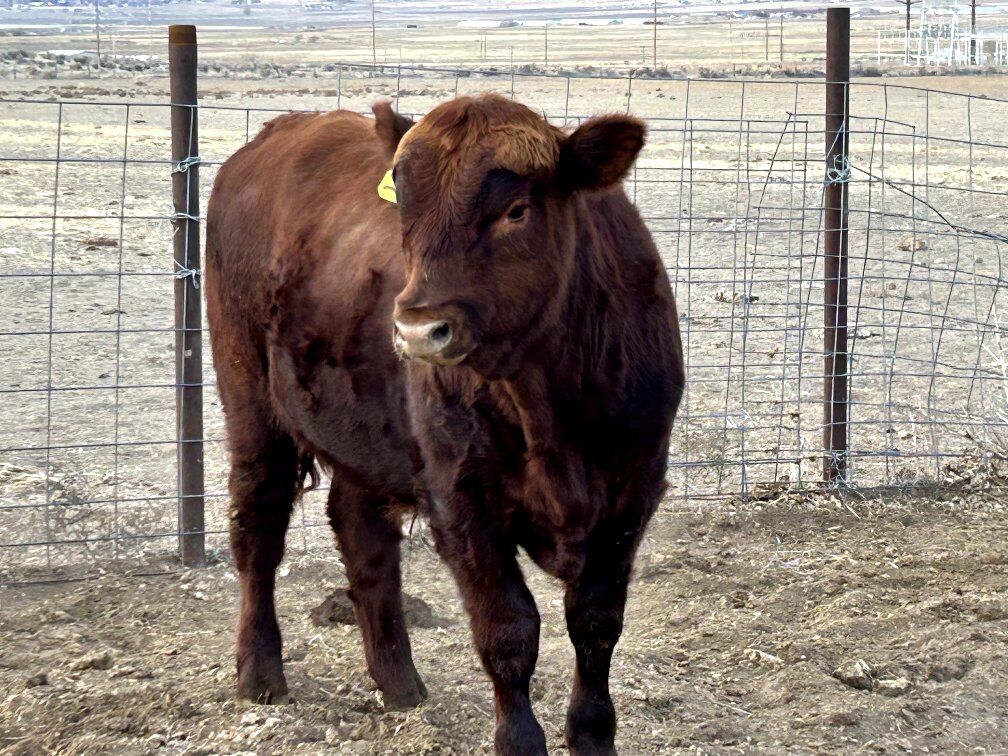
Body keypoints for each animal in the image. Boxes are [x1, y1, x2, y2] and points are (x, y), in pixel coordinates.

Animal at [205, 93, 684, 755]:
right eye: (407, 206)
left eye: (515, 210)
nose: (416, 329)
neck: (548, 400)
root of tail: (271, 139)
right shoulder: (461, 500)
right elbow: (507, 629)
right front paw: (519, 741)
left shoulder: (631, 495)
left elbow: (596, 623)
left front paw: (592, 735)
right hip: (250, 401)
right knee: (258, 526)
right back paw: (260, 673)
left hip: (365, 431)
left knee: (363, 537)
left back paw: (399, 682)